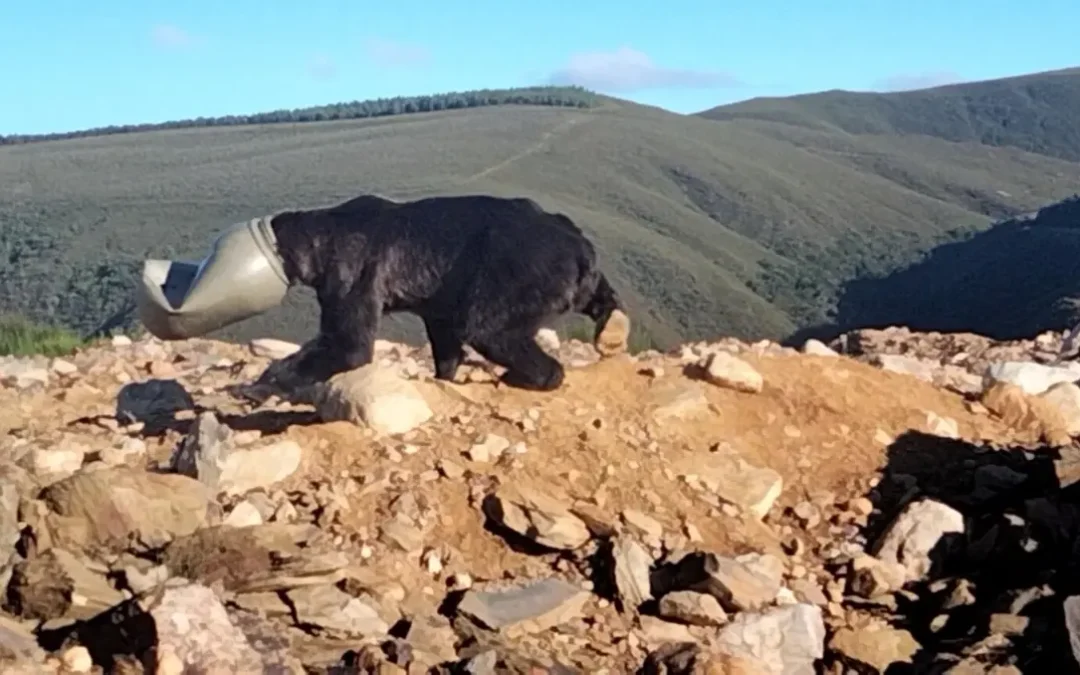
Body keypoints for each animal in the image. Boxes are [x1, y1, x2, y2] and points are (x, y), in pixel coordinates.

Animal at [266, 192, 631, 391]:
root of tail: (578, 245)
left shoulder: (352, 273)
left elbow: (348, 345)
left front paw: (271, 380)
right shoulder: (439, 302)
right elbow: (445, 343)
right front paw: (444, 375)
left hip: (520, 271)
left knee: (491, 329)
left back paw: (528, 374)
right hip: (568, 274)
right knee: (600, 297)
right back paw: (613, 331)